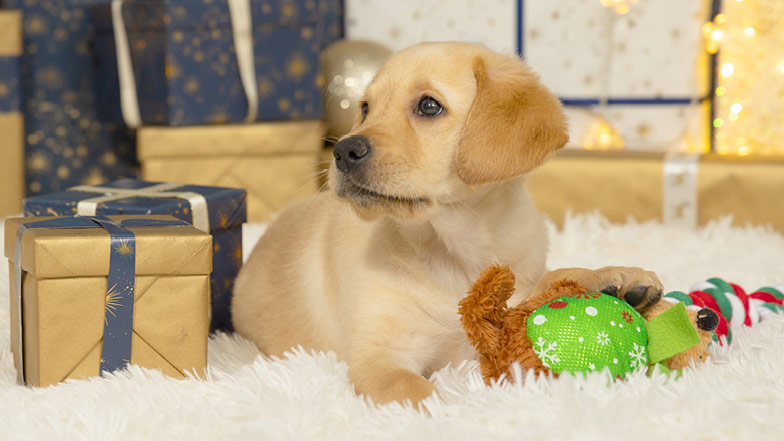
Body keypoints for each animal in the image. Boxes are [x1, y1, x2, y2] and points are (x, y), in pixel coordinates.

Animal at [231, 42, 660, 406]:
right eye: (365, 108)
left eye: (428, 106)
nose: (342, 151)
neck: (453, 248)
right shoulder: (380, 358)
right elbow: (419, 393)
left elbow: (553, 277)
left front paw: (614, 276)